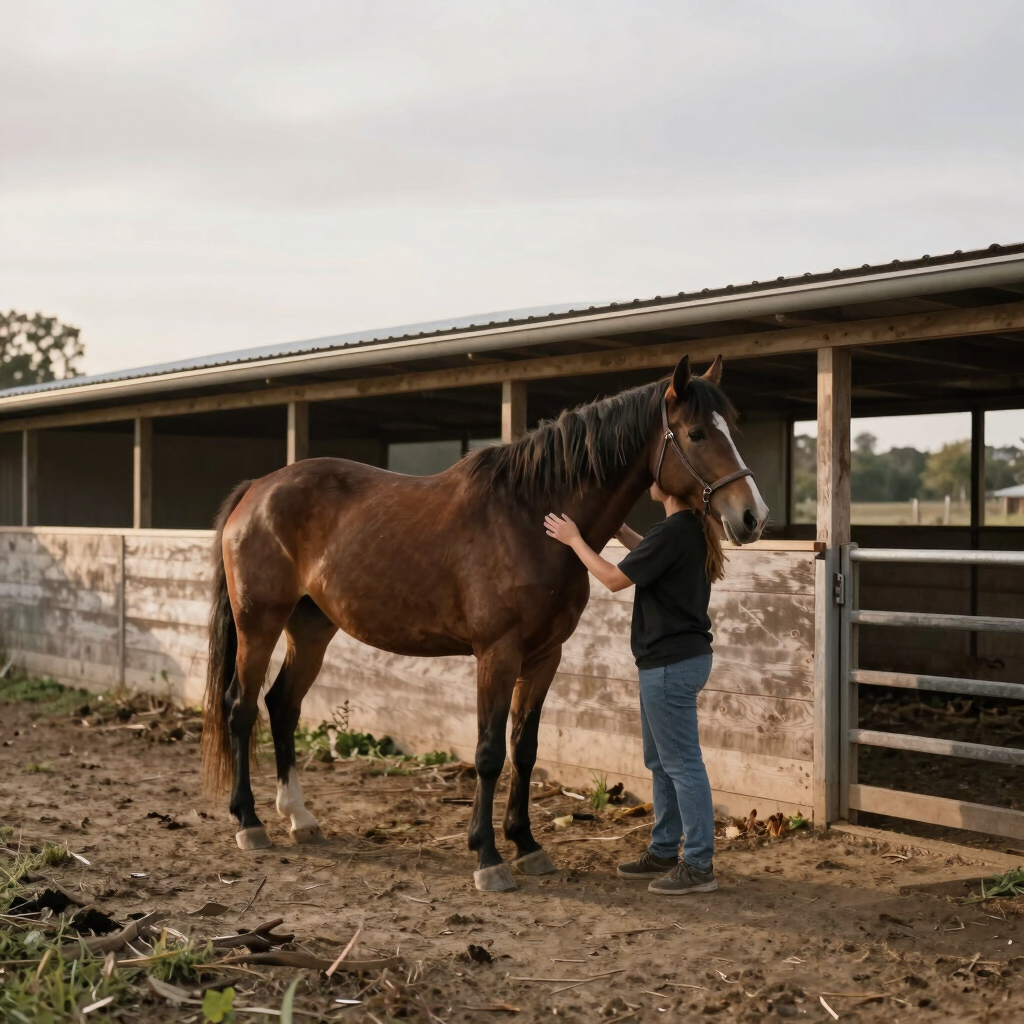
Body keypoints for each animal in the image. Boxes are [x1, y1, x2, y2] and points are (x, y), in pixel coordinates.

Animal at [201, 354, 768, 892]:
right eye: (696, 434)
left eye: (730, 430)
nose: (753, 517)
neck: (529, 517)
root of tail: (257, 489)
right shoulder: (497, 654)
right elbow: (490, 751)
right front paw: (489, 857)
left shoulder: (544, 656)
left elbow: (525, 748)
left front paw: (527, 844)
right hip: (258, 625)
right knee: (241, 707)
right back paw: (250, 822)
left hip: (312, 628)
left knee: (283, 706)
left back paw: (299, 817)